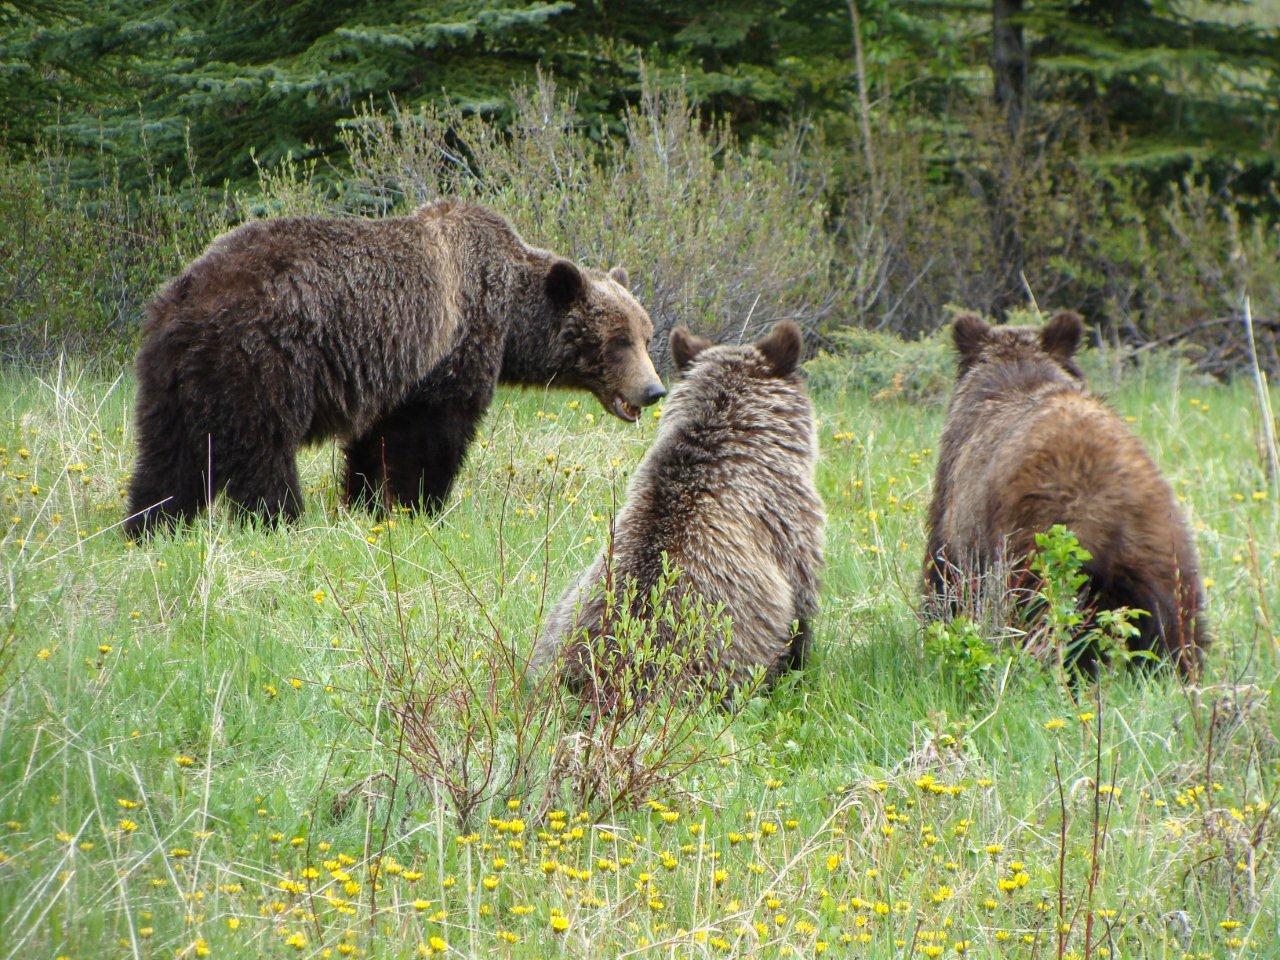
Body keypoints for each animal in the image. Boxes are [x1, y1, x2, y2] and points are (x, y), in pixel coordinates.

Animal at [123, 199, 665, 537]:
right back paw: (281, 521)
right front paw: (421, 507)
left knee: (168, 454)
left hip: (173, 377)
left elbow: (373, 443)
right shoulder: (448, 351)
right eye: (618, 341)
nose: (653, 389)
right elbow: (430, 440)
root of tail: (185, 296)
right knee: (262, 453)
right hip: (260, 362)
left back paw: (151, 524)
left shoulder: (393, 372)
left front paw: (364, 504)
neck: (510, 316)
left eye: (646, 334)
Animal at [921, 313, 1208, 675]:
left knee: (1040, 622)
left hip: (1039, 553)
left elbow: (942, 575)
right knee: (1180, 631)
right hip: (1167, 556)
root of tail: (1111, 516)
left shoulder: (955, 506)